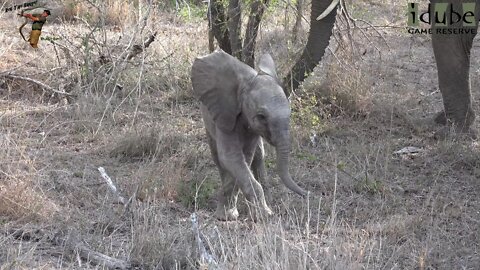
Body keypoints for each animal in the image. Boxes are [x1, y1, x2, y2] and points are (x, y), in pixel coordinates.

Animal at [190, 50, 306, 219]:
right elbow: (230, 158)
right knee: (218, 158)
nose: (307, 194)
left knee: (258, 156)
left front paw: (260, 214)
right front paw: (230, 217)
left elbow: (244, 157)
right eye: (261, 117)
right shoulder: (226, 114)